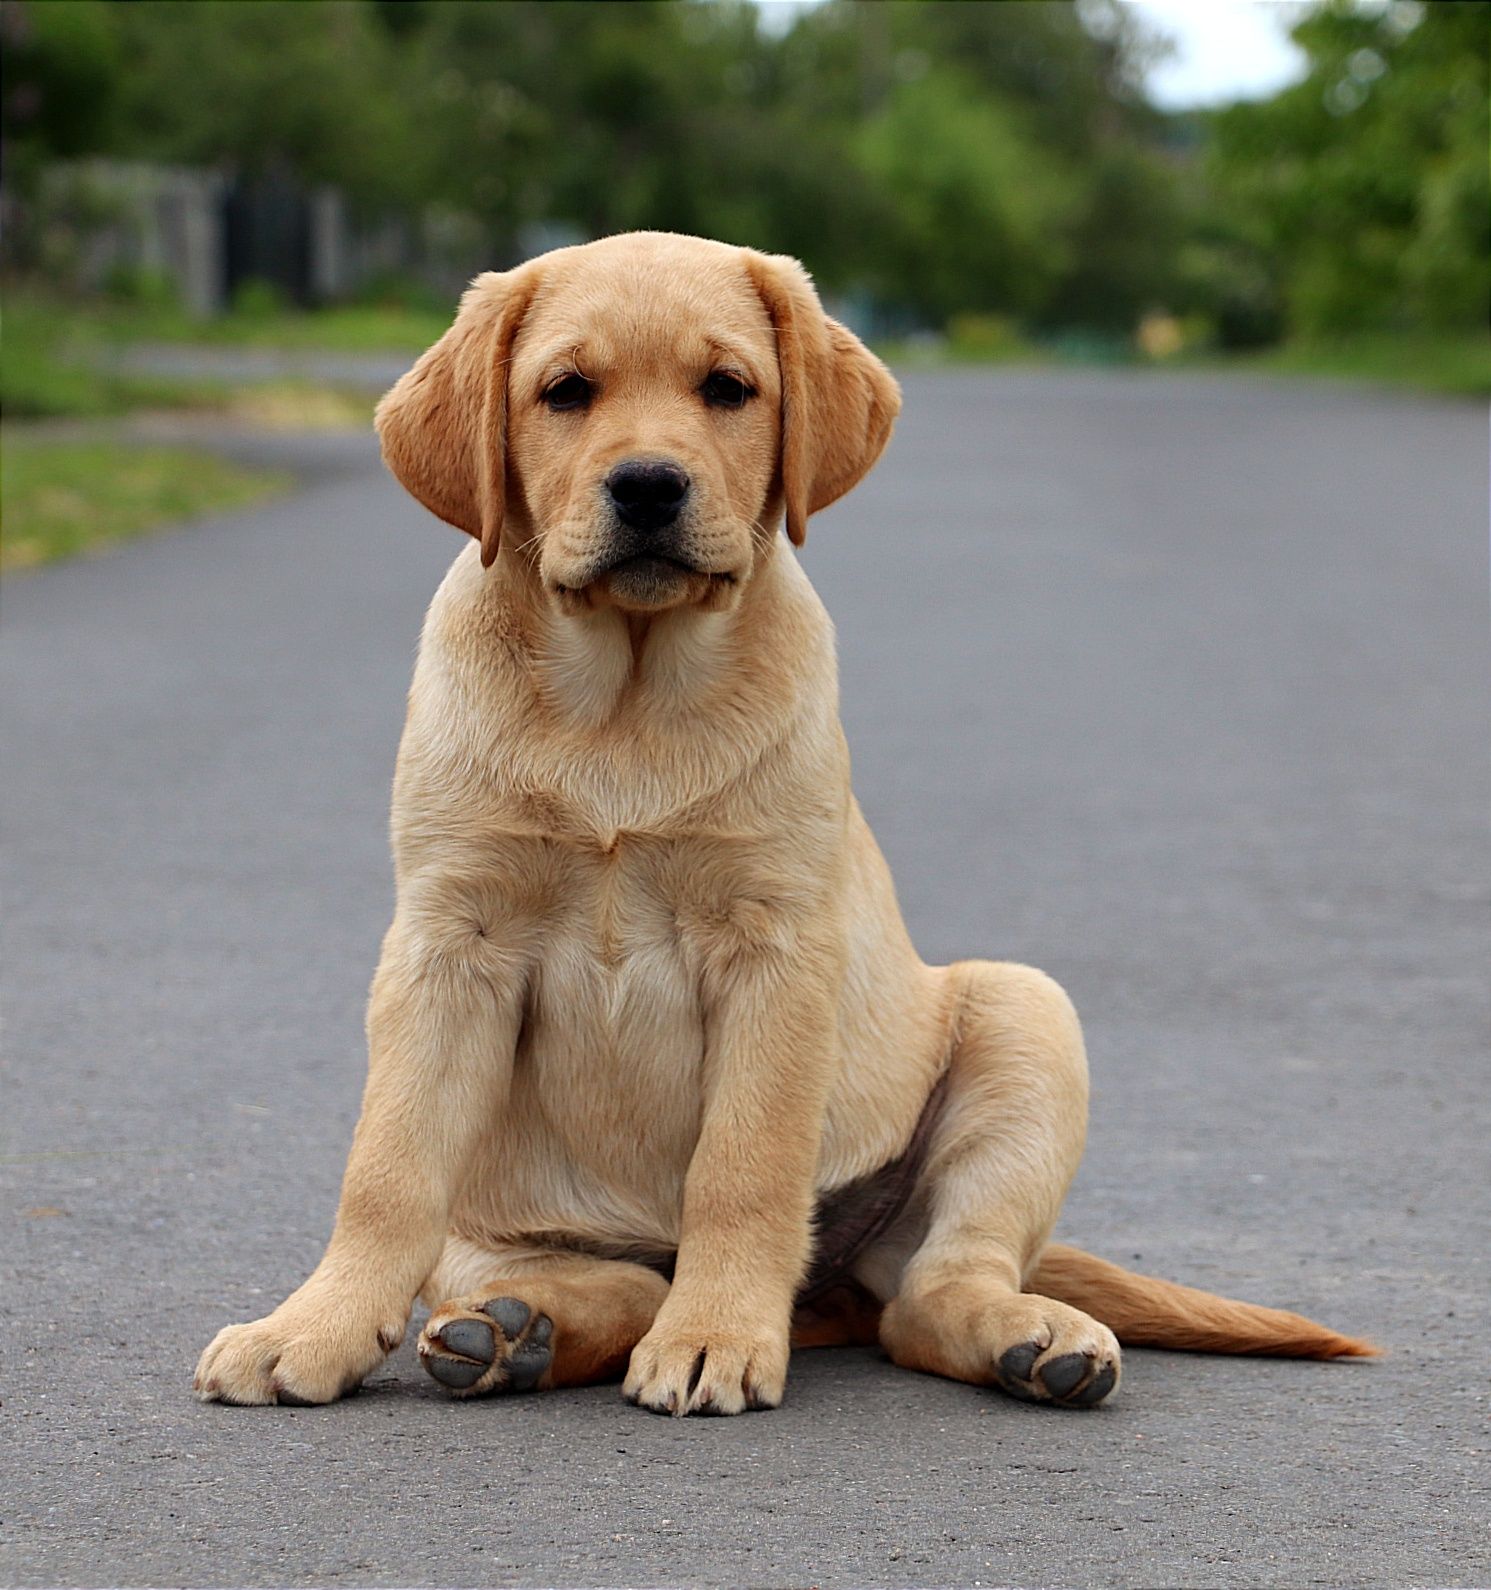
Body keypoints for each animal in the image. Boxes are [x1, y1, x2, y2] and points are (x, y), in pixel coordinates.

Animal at [194, 232, 1373, 1418]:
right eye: (565, 392)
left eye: (728, 388)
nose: (649, 485)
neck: (624, 701)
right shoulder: (446, 941)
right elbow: (385, 1170)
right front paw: (311, 1327)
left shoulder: (775, 947)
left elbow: (743, 1166)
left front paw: (714, 1334)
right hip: (496, 1221)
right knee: (606, 1282)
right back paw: (512, 1329)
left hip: (1023, 1012)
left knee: (930, 1294)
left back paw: (1027, 1338)